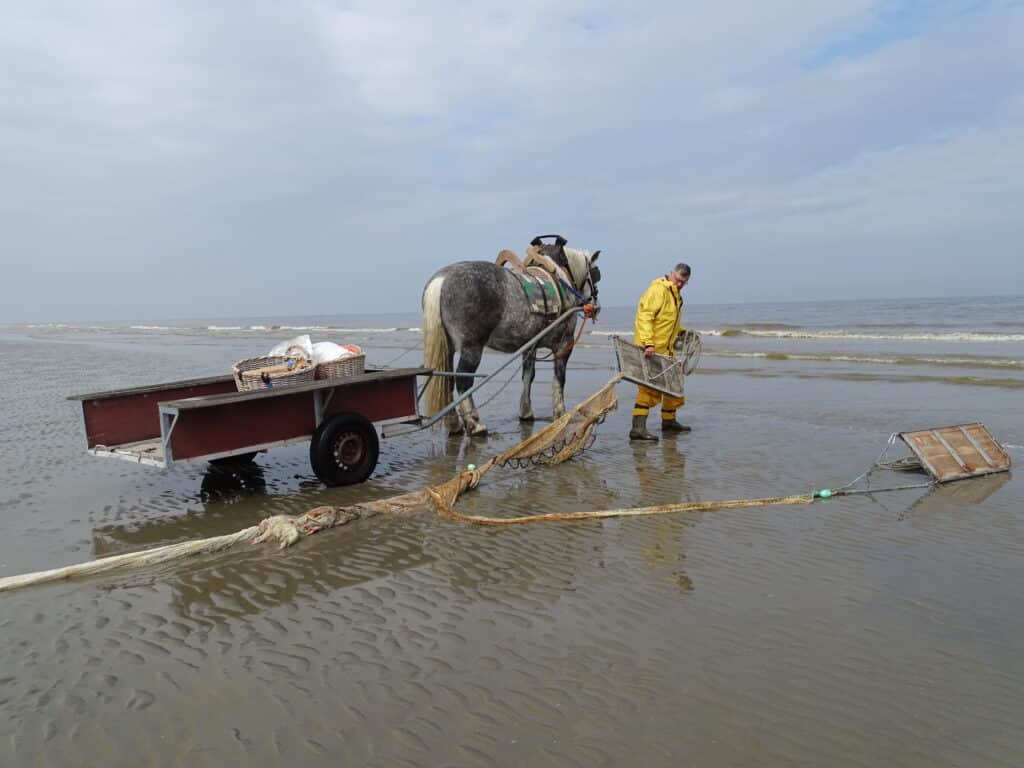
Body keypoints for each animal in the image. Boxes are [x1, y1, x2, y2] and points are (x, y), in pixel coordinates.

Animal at [421, 234, 602, 438]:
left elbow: (528, 376)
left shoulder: (529, 346)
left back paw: (454, 424)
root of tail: (442, 279)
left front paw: (526, 411)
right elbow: (559, 379)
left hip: (448, 347)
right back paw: (474, 424)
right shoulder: (564, 345)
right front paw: (560, 412)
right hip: (471, 348)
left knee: (446, 380)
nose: (594, 303)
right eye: (595, 274)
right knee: (463, 380)